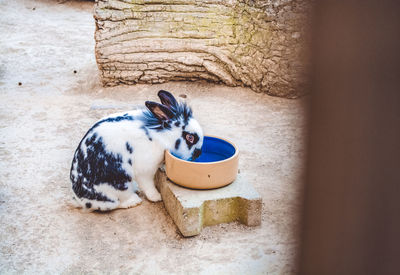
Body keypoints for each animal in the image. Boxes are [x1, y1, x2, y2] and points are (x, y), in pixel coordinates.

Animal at [69, 90, 205, 211]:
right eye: (190, 138)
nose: (198, 153)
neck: (160, 134)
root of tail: (80, 200)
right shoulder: (145, 171)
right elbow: (148, 186)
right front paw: (157, 197)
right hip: (121, 184)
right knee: (117, 203)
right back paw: (134, 201)